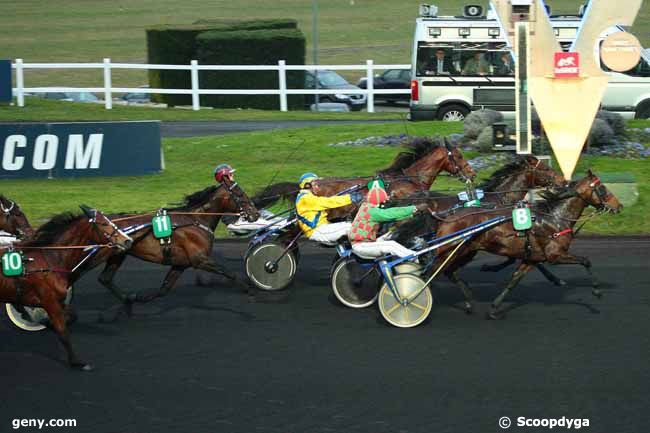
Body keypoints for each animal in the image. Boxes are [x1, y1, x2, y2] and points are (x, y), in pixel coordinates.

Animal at [0, 208, 133, 370]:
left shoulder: (57, 300)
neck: (50, 260)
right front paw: (76, 361)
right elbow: (62, 330)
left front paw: (45, 322)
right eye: (103, 224)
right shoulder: (49, 301)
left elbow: (71, 316)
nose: (127, 240)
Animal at [87, 177, 260, 312]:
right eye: (239, 193)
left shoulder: (180, 264)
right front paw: (250, 290)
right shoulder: (200, 260)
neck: (196, 221)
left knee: (105, 278)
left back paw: (126, 300)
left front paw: (138, 298)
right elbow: (228, 272)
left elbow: (164, 289)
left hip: (118, 254)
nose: (255, 213)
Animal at [428, 170, 620, 318]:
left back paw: (468, 302)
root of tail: (446, 218)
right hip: (451, 251)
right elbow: (586, 261)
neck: (555, 218)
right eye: (602, 188)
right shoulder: (555, 255)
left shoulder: (532, 259)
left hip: (465, 251)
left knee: (449, 272)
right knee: (431, 273)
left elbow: (514, 281)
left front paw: (494, 309)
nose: (619, 206)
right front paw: (597, 291)